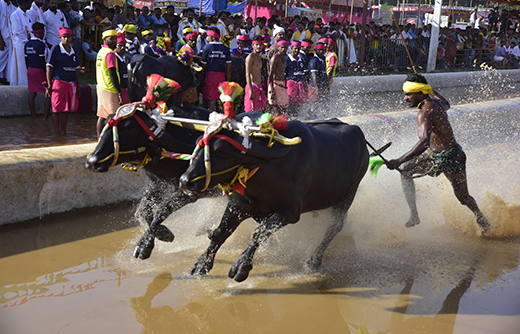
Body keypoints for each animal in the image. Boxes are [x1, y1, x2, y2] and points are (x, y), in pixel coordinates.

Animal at [86, 105, 216, 260]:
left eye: (130, 127)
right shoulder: (159, 184)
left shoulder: (190, 192)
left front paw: (145, 246)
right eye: (105, 123)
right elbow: (142, 211)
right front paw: (165, 234)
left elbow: (161, 209)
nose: (92, 161)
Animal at [180, 117, 370, 282]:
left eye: (222, 150)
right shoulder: (239, 205)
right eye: (198, 143)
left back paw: (313, 261)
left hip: (346, 198)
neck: (266, 171)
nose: (184, 181)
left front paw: (242, 266)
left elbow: (260, 231)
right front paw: (201, 264)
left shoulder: (290, 211)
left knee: (334, 227)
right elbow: (220, 232)